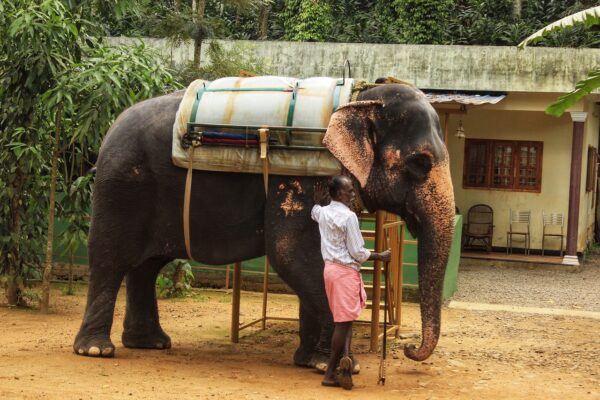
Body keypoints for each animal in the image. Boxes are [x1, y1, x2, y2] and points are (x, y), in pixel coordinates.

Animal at [74, 81, 454, 366]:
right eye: (420, 163)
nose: (410, 349)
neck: (358, 98)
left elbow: (306, 261)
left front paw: (308, 362)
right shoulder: (299, 181)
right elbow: (291, 254)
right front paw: (334, 364)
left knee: (147, 266)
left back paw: (151, 343)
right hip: (120, 189)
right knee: (109, 260)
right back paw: (96, 349)